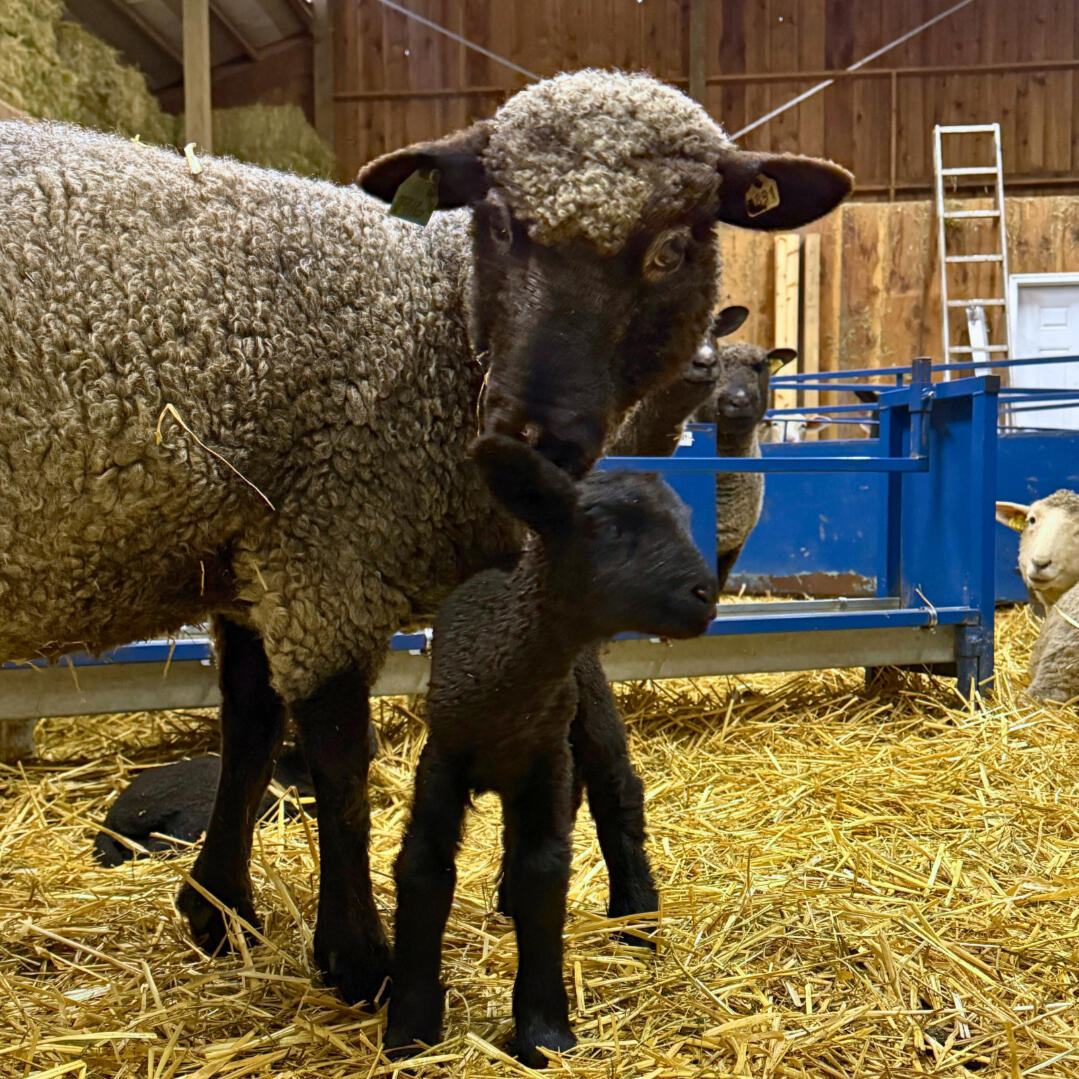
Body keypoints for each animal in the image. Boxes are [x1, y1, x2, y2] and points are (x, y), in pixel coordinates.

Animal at [386, 435, 717, 1067]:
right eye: (603, 526)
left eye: (686, 520)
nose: (705, 597)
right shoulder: (444, 761)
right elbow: (424, 868)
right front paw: (408, 1031)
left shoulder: (544, 759)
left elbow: (544, 873)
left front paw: (542, 1034)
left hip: (589, 707)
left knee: (617, 795)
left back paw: (637, 917)